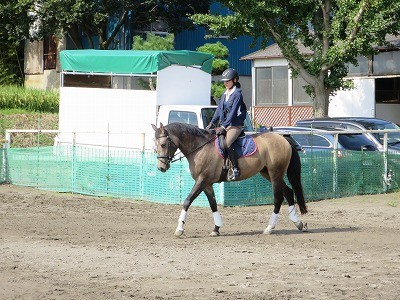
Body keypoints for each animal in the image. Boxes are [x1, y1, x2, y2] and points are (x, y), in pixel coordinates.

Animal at [152, 122, 308, 237]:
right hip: (268, 173)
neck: (200, 148)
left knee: (279, 198)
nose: (161, 167)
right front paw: (216, 229)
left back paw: (270, 227)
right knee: (288, 192)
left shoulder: (202, 180)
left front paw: (179, 229)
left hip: (275, 173)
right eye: (155, 144)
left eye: (163, 144)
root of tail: (282, 138)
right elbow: (213, 205)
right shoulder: (207, 184)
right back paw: (298, 223)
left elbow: (187, 201)